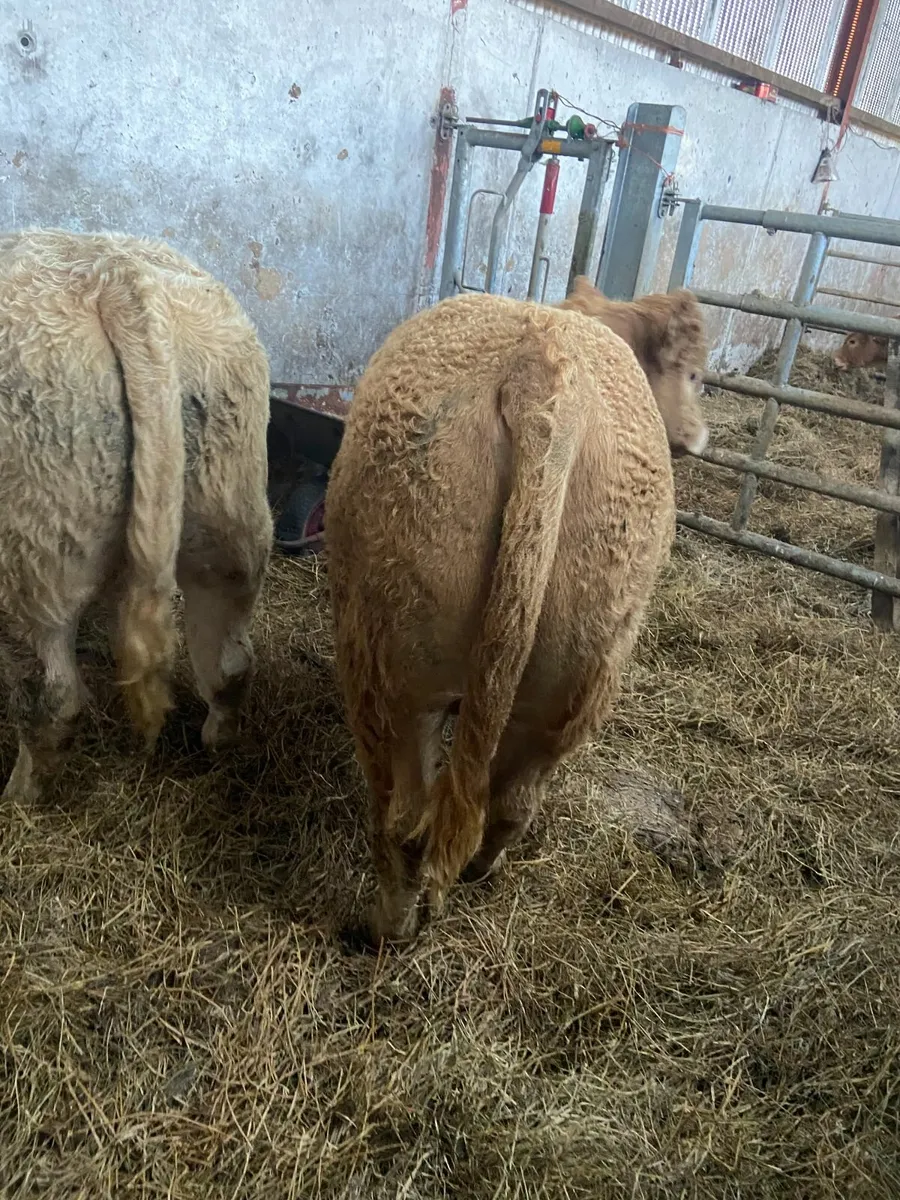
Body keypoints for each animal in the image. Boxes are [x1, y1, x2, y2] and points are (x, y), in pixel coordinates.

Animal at [0, 229, 273, 802]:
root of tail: (110, 273)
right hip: (229, 515)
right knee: (230, 660)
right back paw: (217, 741)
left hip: (28, 555)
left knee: (51, 701)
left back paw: (18, 797)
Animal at [326, 279, 708, 946]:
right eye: (691, 374)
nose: (694, 438)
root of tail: (542, 372)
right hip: (569, 684)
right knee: (503, 806)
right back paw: (468, 879)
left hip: (397, 668)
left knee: (410, 815)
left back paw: (388, 926)